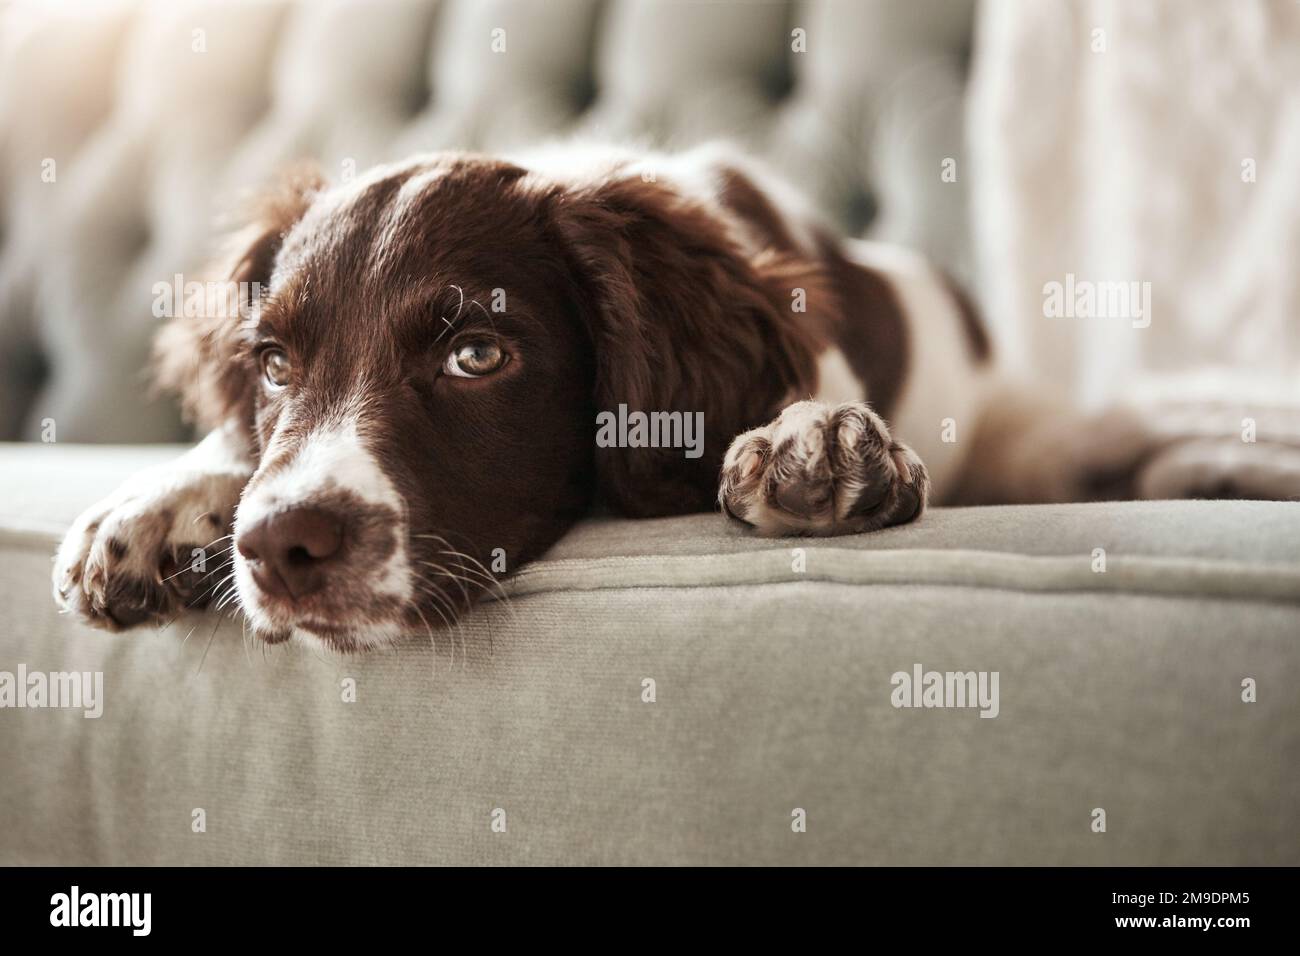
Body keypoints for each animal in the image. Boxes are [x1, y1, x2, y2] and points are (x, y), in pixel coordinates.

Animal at [50, 143, 1300, 650]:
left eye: (477, 355)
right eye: (271, 363)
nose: (284, 547)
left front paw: (820, 438)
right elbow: (231, 449)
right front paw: (155, 505)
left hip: (1037, 440)